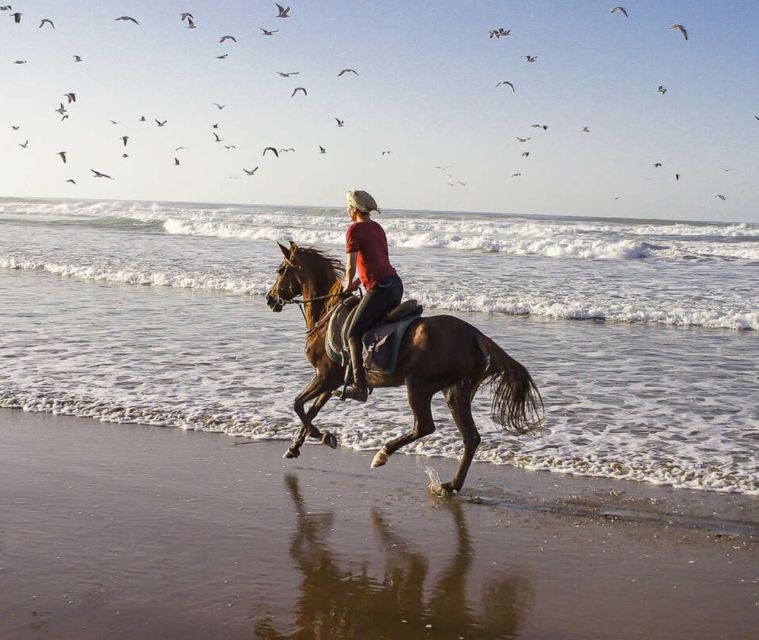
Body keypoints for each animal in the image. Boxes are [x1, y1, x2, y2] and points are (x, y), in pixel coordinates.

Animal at [264, 241, 544, 496]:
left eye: (280, 270)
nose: (269, 299)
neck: (327, 313)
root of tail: (475, 335)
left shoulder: (324, 376)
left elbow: (299, 405)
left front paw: (320, 436)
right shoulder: (331, 381)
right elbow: (311, 409)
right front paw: (296, 446)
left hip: (418, 385)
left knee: (425, 426)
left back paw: (383, 454)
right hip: (456, 392)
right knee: (470, 437)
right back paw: (450, 485)